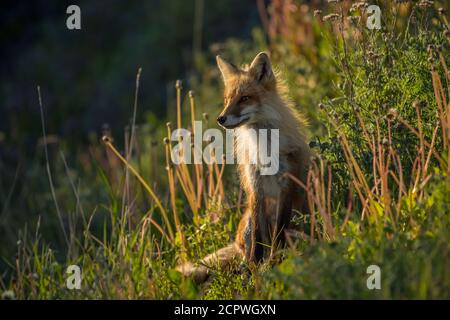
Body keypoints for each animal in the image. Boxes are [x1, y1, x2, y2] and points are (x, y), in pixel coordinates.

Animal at [178, 51, 312, 282]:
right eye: (227, 100)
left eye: (244, 98)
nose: (221, 118)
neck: (264, 148)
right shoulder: (255, 185)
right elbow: (257, 243)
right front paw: (253, 268)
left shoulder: (286, 185)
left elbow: (279, 232)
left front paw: (273, 261)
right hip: (248, 220)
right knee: (246, 246)